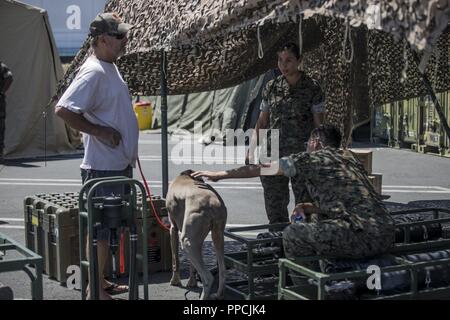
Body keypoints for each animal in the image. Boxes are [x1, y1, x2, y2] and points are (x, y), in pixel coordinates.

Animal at [165, 170, 227, 300]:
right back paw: (218, 295)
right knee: (222, 271)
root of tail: (213, 203)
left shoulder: (173, 228)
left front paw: (175, 281)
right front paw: (192, 282)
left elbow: (175, 259)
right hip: (217, 234)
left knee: (208, 277)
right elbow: (191, 264)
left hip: (186, 240)